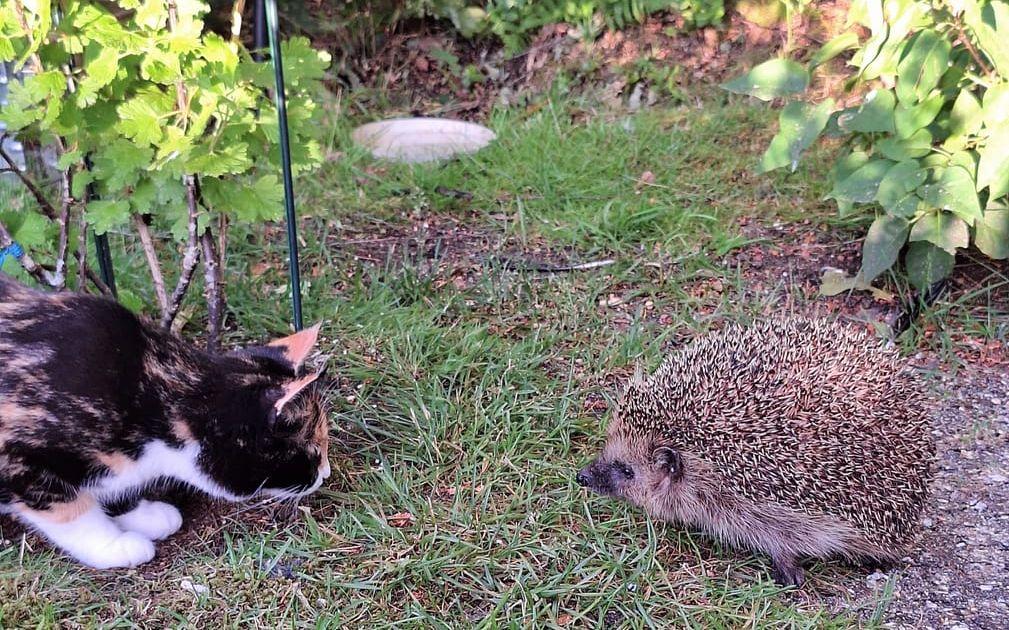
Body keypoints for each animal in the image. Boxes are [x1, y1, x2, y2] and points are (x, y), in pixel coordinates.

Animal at [0, 272, 330, 569]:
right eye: (312, 452)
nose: (326, 473)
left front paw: (147, 516)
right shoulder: (21, 461)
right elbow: (71, 513)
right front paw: (115, 546)